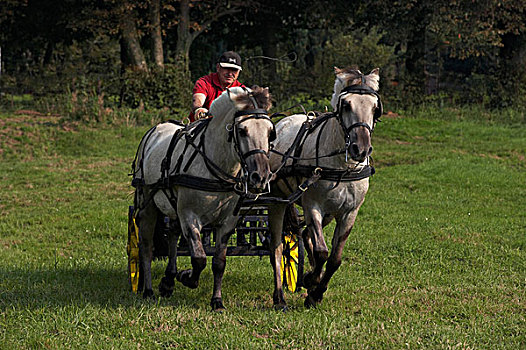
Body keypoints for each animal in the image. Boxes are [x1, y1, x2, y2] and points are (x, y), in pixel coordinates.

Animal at [132, 86, 276, 310]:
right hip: (148, 204)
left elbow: (218, 262)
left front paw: (216, 300)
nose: (260, 177)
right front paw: (186, 277)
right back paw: (148, 290)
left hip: (173, 206)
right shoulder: (190, 217)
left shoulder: (227, 222)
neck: (216, 166)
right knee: (146, 246)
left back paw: (168, 281)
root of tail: (156, 130)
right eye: (242, 131)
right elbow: (199, 258)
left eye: (270, 132)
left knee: (172, 235)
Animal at [268, 67, 384, 308]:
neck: (342, 166)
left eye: (375, 107)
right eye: (346, 105)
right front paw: (310, 281)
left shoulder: (349, 213)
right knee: (277, 248)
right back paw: (279, 297)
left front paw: (317, 290)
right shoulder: (313, 207)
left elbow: (334, 258)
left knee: (305, 235)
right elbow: (322, 252)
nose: (360, 148)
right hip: (277, 202)